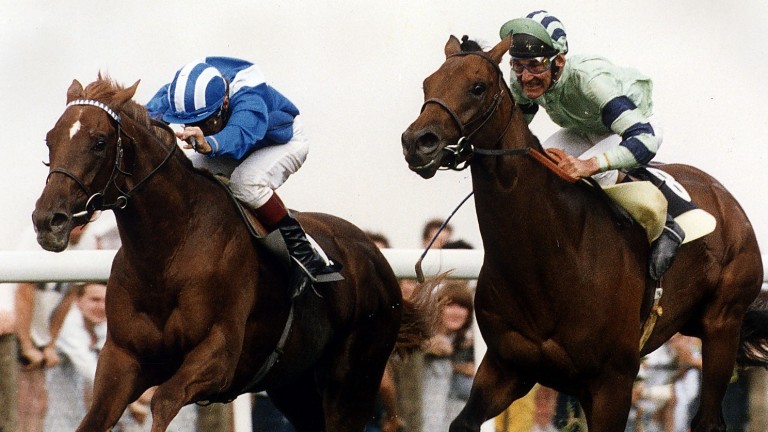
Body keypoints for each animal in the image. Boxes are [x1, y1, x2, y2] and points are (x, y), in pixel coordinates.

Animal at [33, 76, 432, 430]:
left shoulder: (219, 356)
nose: (47, 220)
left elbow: (163, 401)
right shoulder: (122, 357)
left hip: (353, 379)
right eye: (49, 140)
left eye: (99, 142)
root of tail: (376, 257)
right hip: (292, 384)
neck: (167, 254)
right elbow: (95, 419)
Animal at [402, 36, 768, 432]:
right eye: (427, 84)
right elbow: (464, 421)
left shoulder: (614, 382)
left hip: (722, 324)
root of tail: (724, 197)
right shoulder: (507, 367)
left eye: (478, 87)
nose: (417, 142)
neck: (552, 256)